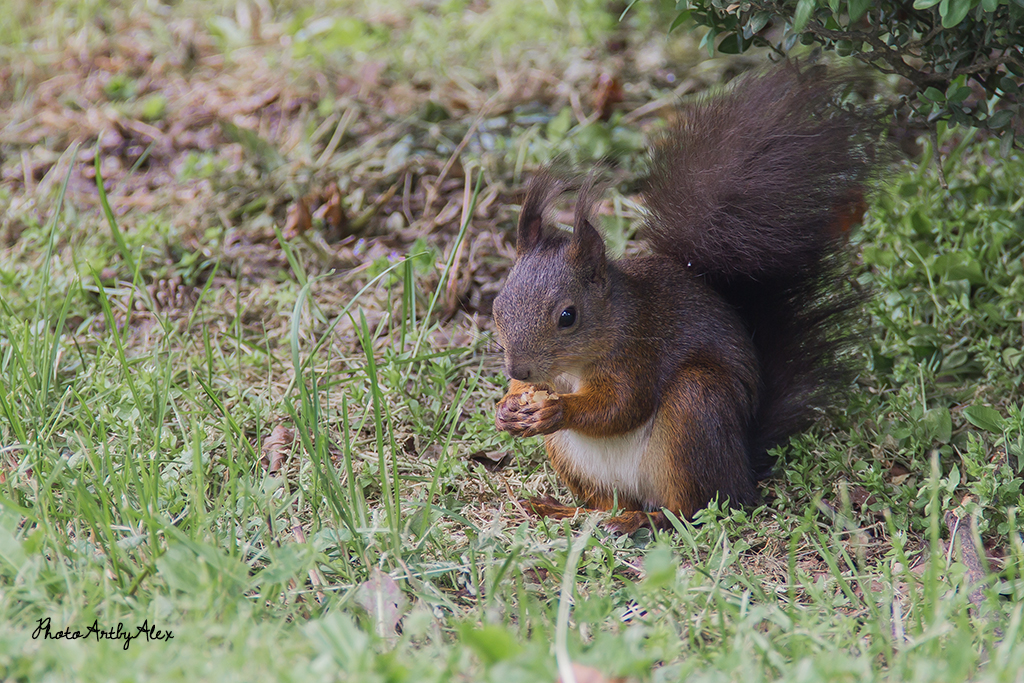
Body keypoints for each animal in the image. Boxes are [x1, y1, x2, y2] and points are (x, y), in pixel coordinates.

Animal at [491, 63, 884, 532]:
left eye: (567, 316)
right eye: (497, 308)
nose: (519, 368)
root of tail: (742, 465)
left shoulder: (639, 351)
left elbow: (622, 406)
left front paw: (556, 412)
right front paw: (506, 405)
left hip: (694, 411)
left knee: (688, 510)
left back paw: (638, 520)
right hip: (575, 460)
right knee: (609, 502)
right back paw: (570, 510)